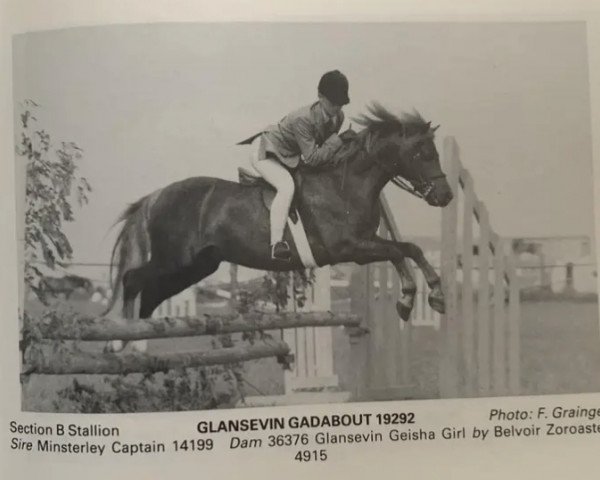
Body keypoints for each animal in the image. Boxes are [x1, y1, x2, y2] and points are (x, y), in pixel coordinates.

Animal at [104, 104, 450, 352]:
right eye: (421, 153)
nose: (445, 196)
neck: (345, 184)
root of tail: (156, 196)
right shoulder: (351, 248)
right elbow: (402, 251)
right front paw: (422, 297)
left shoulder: (365, 242)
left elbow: (405, 250)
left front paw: (420, 299)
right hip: (175, 259)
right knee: (133, 280)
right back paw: (121, 339)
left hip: (197, 265)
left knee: (151, 293)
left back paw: (138, 337)